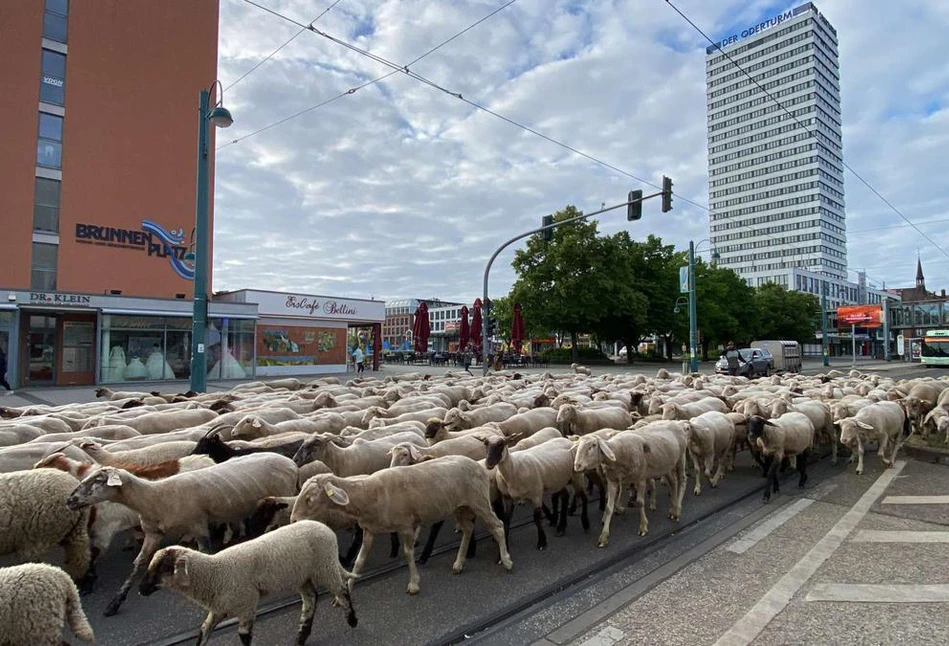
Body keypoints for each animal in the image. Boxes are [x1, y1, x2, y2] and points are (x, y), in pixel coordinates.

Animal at [65, 454, 296, 616]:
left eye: (97, 481)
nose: (69, 500)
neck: (153, 497)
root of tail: (289, 461)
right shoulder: (153, 534)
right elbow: (138, 564)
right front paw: (114, 603)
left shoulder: (198, 526)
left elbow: (204, 554)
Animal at [141, 520, 360, 646]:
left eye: (163, 568)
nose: (141, 590)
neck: (214, 572)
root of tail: (325, 527)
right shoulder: (219, 608)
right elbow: (203, 632)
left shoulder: (246, 603)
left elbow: (243, 635)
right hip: (300, 575)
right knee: (311, 598)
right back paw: (301, 637)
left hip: (324, 566)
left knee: (341, 590)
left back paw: (352, 620)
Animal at [292, 456, 512, 596]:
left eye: (310, 498)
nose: (293, 520)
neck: (369, 495)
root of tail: (478, 465)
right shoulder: (369, 530)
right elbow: (359, 562)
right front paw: (348, 588)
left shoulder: (406, 525)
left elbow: (408, 553)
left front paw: (413, 584)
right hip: (461, 506)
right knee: (467, 529)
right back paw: (458, 564)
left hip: (479, 501)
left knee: (498, 526)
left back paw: (506, 561)